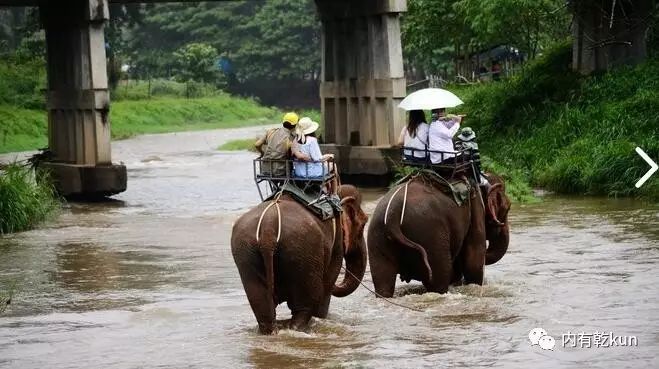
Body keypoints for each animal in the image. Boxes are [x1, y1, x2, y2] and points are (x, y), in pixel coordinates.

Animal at [232, 184, 368, 334]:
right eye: (363, 224)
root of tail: (269, 226)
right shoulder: (336, 241)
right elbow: (328, 284)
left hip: (247, 252)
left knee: (262, 306)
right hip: (303, 250)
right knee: (304, 308)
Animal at [366, 172, 510, 296]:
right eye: (507, 208)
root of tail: (393, 214)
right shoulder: (476, 207)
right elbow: (473, 261)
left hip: (376, 237)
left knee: (383, 282)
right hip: (430, 235)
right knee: (440, 279)